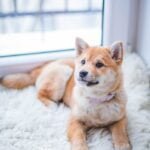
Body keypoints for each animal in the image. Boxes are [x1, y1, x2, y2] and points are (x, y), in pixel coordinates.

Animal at [1, 38, 131, 149]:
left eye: (99, 64)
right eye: (83, 62)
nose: (82, 73)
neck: (97, 99)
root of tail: (45, 66)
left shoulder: (120, 118)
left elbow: (120, 132)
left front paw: (122, 144)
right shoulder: (75, 121)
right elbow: (79, 137)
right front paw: (80, 147)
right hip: (63, 73)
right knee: (39, 94)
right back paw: (52, 105)